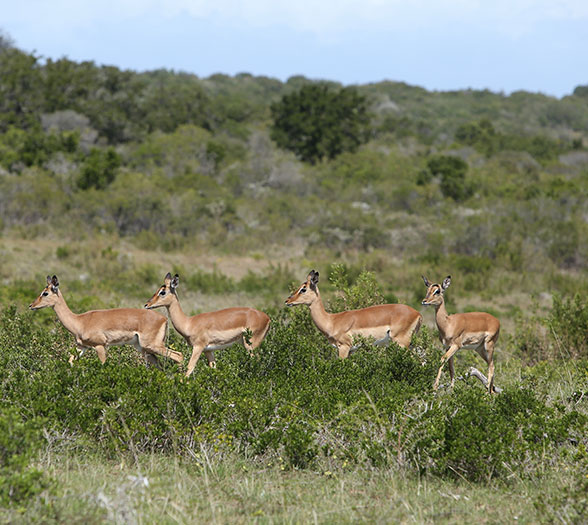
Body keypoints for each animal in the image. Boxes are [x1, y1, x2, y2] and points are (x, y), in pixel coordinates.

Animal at [29, 274, 181, 364]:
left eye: (45, 293)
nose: (31, 305)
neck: (79, 321)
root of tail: (164, 319)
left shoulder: (100, 346)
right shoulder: (81, 347)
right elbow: (70, 362)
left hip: (152, 346)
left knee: (179, 355)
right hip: (144, 348)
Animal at [286, 270, 420, 356]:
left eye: (303, 289)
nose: (287, 301)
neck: (331, 321)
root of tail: (417, 313)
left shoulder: (344, 347)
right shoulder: (351, 350)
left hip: (401, 343)